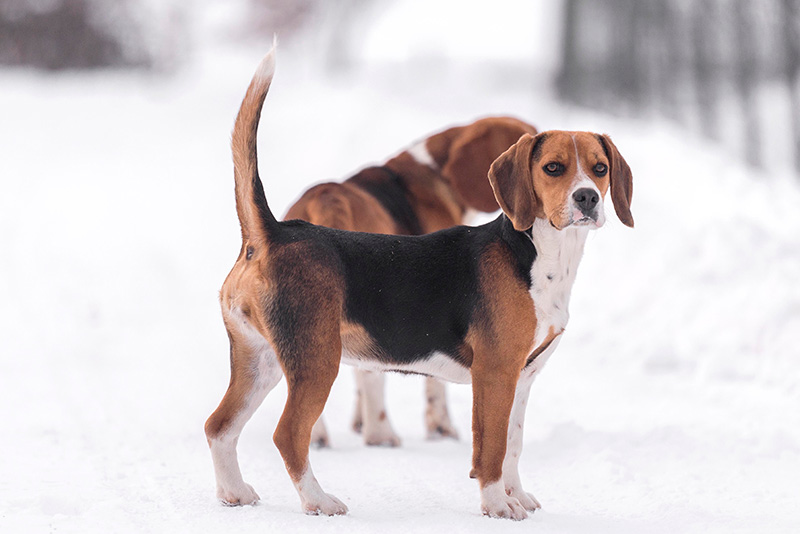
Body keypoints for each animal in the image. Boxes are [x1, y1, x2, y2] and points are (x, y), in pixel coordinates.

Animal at [282, 116, 536, 448]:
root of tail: (326, 195)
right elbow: (434, 385)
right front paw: (441, 428)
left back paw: (319, 436)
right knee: (372, 379)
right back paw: (382, 435)